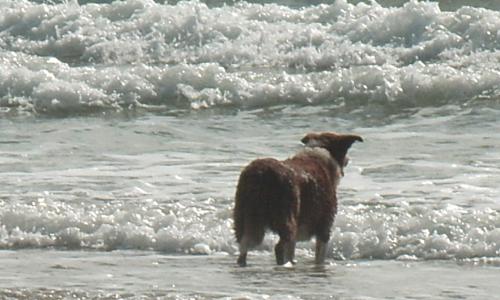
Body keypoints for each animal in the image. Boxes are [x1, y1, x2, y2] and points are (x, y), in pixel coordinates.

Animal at [232, 132, 362, 266]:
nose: (348, 160)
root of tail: (261, 173)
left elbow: (291, 251)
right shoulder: (324, 225)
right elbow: (319, 257)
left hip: (243, 215)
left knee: (243, 246)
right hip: (286, 217)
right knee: (279, 246)